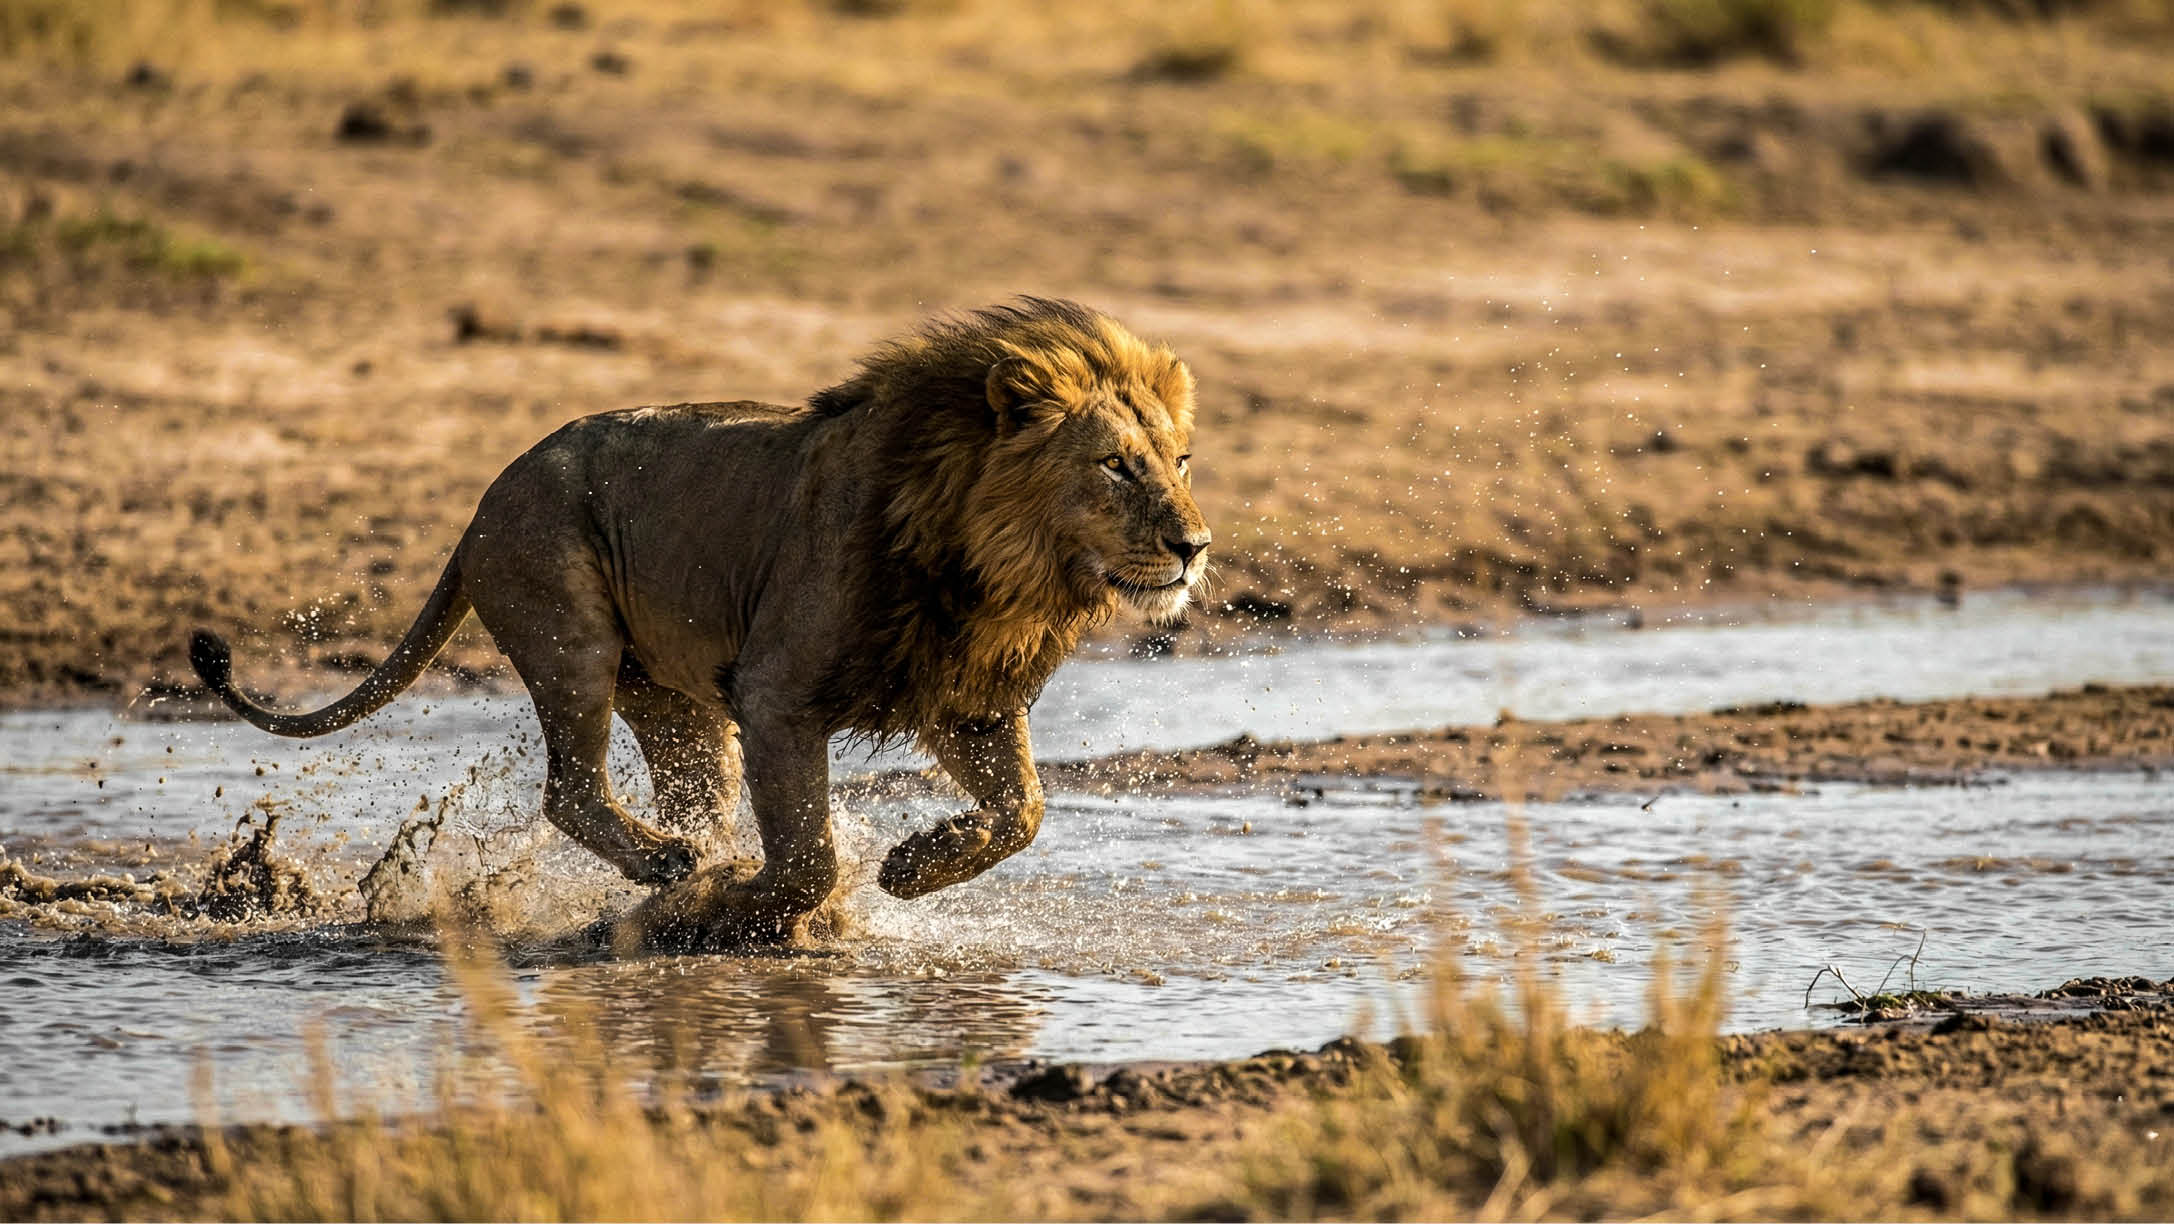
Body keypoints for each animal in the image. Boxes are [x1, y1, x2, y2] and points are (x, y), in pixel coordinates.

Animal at [188, 298, 1211, 947]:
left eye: (1182, 459)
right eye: (1117, 465)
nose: (1195, 545)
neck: (993, 574)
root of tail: (483, 502)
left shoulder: (969, 702)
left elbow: (1022, 813)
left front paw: (909, 869)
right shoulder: (777, 693)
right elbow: (809, 854)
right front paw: (752, 912)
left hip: (673, 703)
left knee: (681, 794)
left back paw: (686, 872)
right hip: (569, 637)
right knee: (571, 790)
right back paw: (674, 869)